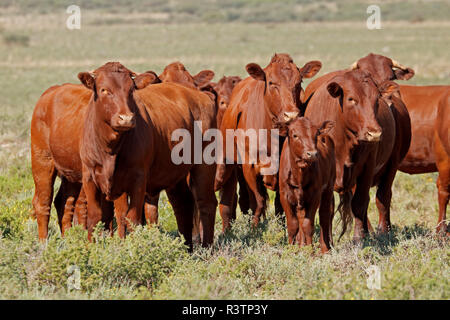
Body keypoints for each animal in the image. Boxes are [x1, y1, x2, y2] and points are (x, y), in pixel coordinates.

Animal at [78, 61, 216, 249]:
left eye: (131, 90)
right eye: (104, 89)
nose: (126, 118)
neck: (109, 149)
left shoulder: (138, 179)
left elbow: (132, 218)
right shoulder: (90, 178)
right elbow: (96, 218)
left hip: (204, 166)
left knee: (206, 203)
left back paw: (207, 248)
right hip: (175, 175)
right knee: (183, 205)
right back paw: (187, 248)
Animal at [216, 53, 322, 228]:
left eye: (299, 82)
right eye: (272, 83)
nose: (291, 115)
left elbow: (280, 204)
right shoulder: (249, 167)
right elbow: (257, 202)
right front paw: (254, 228)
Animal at [278, 117, 338, 252]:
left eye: (316, 134)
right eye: (295, 135)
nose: (312, 154)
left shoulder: (315, 195)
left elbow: (308, 225)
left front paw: (310, 251)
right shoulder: (284, 195)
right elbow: (293, 225)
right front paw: (292, 250)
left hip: (328, 188)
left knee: (325, 215)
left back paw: (324, 249)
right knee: (301, 217)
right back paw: (301, 245)